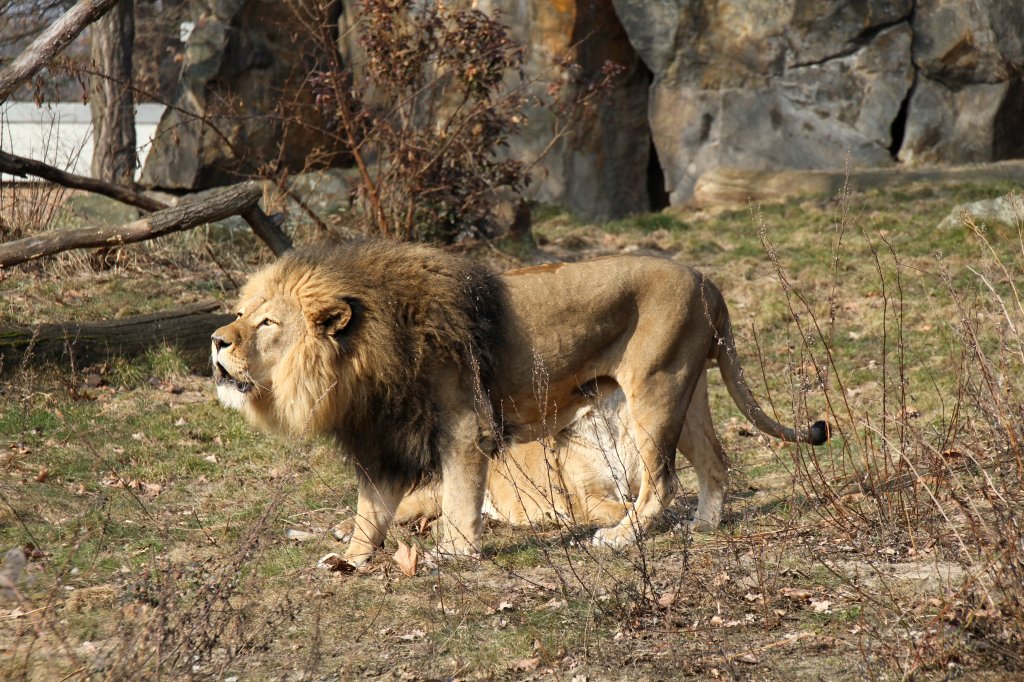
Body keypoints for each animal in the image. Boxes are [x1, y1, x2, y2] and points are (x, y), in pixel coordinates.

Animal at [211, 237, 827, 561]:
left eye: (267, 324)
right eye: (241, 313)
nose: (216, 340)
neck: (358, 361)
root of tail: (707, 280)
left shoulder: (463, 426)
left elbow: (461, 497)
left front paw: (454, 554)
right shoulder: (381, 441)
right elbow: (371, 509)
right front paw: (353, 559)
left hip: (655, 388)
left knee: (661, 483)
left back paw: (618, 539)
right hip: (688, 390)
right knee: (715, 463)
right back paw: (705, 527)